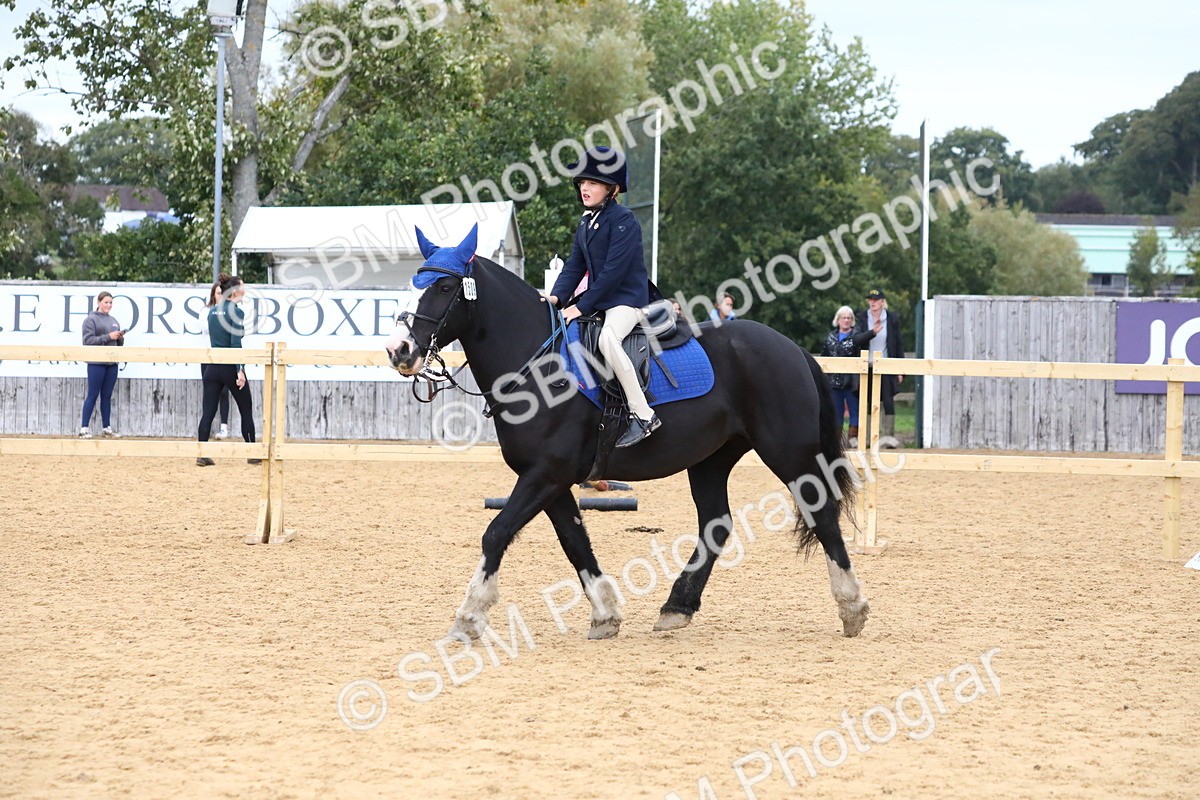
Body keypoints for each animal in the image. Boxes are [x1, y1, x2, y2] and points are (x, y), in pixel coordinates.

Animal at [385, 228, 870, 641]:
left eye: (444, 288)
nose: (398, 350)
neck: (540, 365)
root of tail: (792, 348)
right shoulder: (550, 480)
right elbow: (575, 543)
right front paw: (605, 614)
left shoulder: (546, 474)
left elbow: (496, 532)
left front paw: (469, 617)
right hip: (710, 460)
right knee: (716, 524)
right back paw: (677, 607)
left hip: (789, 455)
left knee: (821, 515)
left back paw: (852, 606)